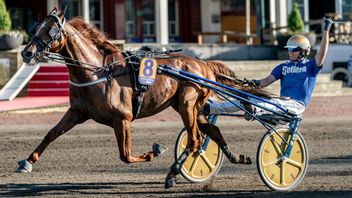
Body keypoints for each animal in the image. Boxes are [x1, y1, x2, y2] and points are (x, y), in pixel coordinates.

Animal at [17, 8, 270, 189]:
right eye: (37, 25)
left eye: (50, 30)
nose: (26, 53)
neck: (98, 71)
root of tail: (205, 64)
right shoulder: (77, 112)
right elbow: (51, 133)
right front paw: (27, 161)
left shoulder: (122, 118)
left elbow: (126, 155)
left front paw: (154, 151)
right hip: (190, 107)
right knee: (211, 132)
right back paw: (237, 157)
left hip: (188, 104)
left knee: (194, 140)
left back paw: (172, 174)